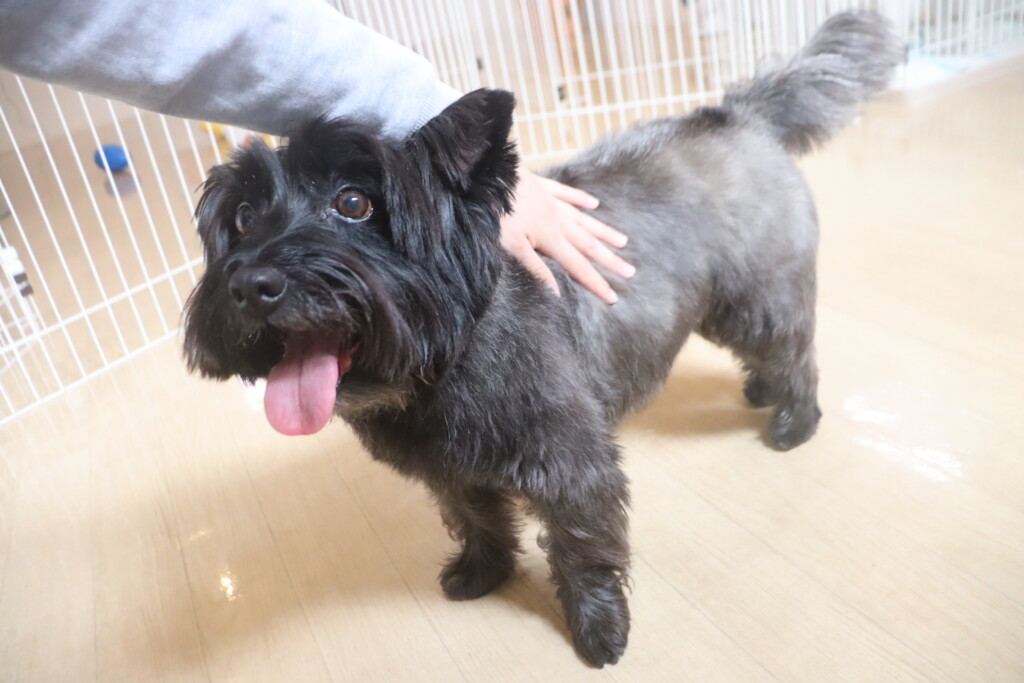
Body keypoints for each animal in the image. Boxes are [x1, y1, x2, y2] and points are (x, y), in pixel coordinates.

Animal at [183, 12, 903, 667]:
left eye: (355, 204)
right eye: (242, 217)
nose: (250, 284)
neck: (445, 363)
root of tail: (736, 113)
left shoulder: (571, 468)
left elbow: (584, 549)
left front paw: (599, 628)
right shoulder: (452, 473)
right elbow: (477, 517)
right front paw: (483, 571)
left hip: (757, 300)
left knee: (796, 354)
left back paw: (794, 421)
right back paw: (760, 391)